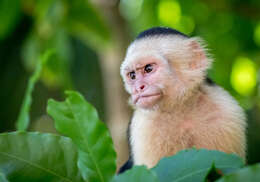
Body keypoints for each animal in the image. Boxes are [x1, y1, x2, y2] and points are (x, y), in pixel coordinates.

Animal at [119, 27, 247, 172]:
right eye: (132, 75)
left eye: (148, 68)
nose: (138, 89)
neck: (180, 106)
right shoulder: (143, 128)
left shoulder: (228, 112)